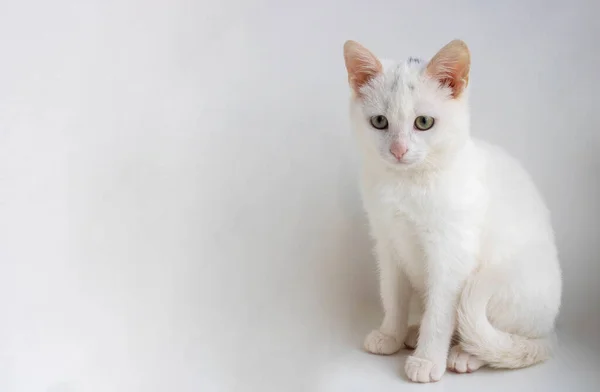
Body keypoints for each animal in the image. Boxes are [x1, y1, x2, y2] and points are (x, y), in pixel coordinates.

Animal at [342, 39, 564, 382]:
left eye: (423, 122)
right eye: (379, 122)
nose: (398, 150)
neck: (407, 184)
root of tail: (550, 331)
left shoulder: (451, 252)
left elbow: (440, 313)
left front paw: (427, 359)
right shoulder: (387, 243)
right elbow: (392, 295)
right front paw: (391, 334)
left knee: (503, 339)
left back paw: (465, 354)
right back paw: (413, 333)